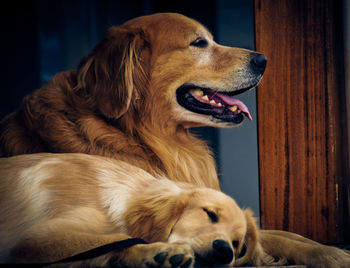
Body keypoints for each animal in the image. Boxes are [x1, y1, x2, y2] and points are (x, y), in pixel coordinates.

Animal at [0, 154, 262, 266]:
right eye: (210, 214)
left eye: (236, 244)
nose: (225, 252)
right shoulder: (35, 238)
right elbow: (112, 241)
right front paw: (157, 252)